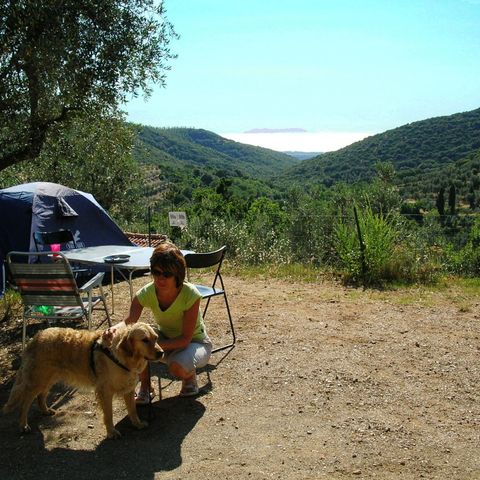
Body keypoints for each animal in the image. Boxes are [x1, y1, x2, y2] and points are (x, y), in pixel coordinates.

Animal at [2, 322, 163, 438]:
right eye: (145, 340)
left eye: (156, 338)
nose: (161, 353)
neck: (120, 355)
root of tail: (36, 336)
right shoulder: (105, 392)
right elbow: (109, 415)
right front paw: (111, 432)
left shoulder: (128, 389)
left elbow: (133, 410)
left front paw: (137, 424)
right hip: (38, 380)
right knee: (25, 402)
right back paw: (23, 425)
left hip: (49, 377)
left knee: (41, 396)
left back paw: (46, 410)